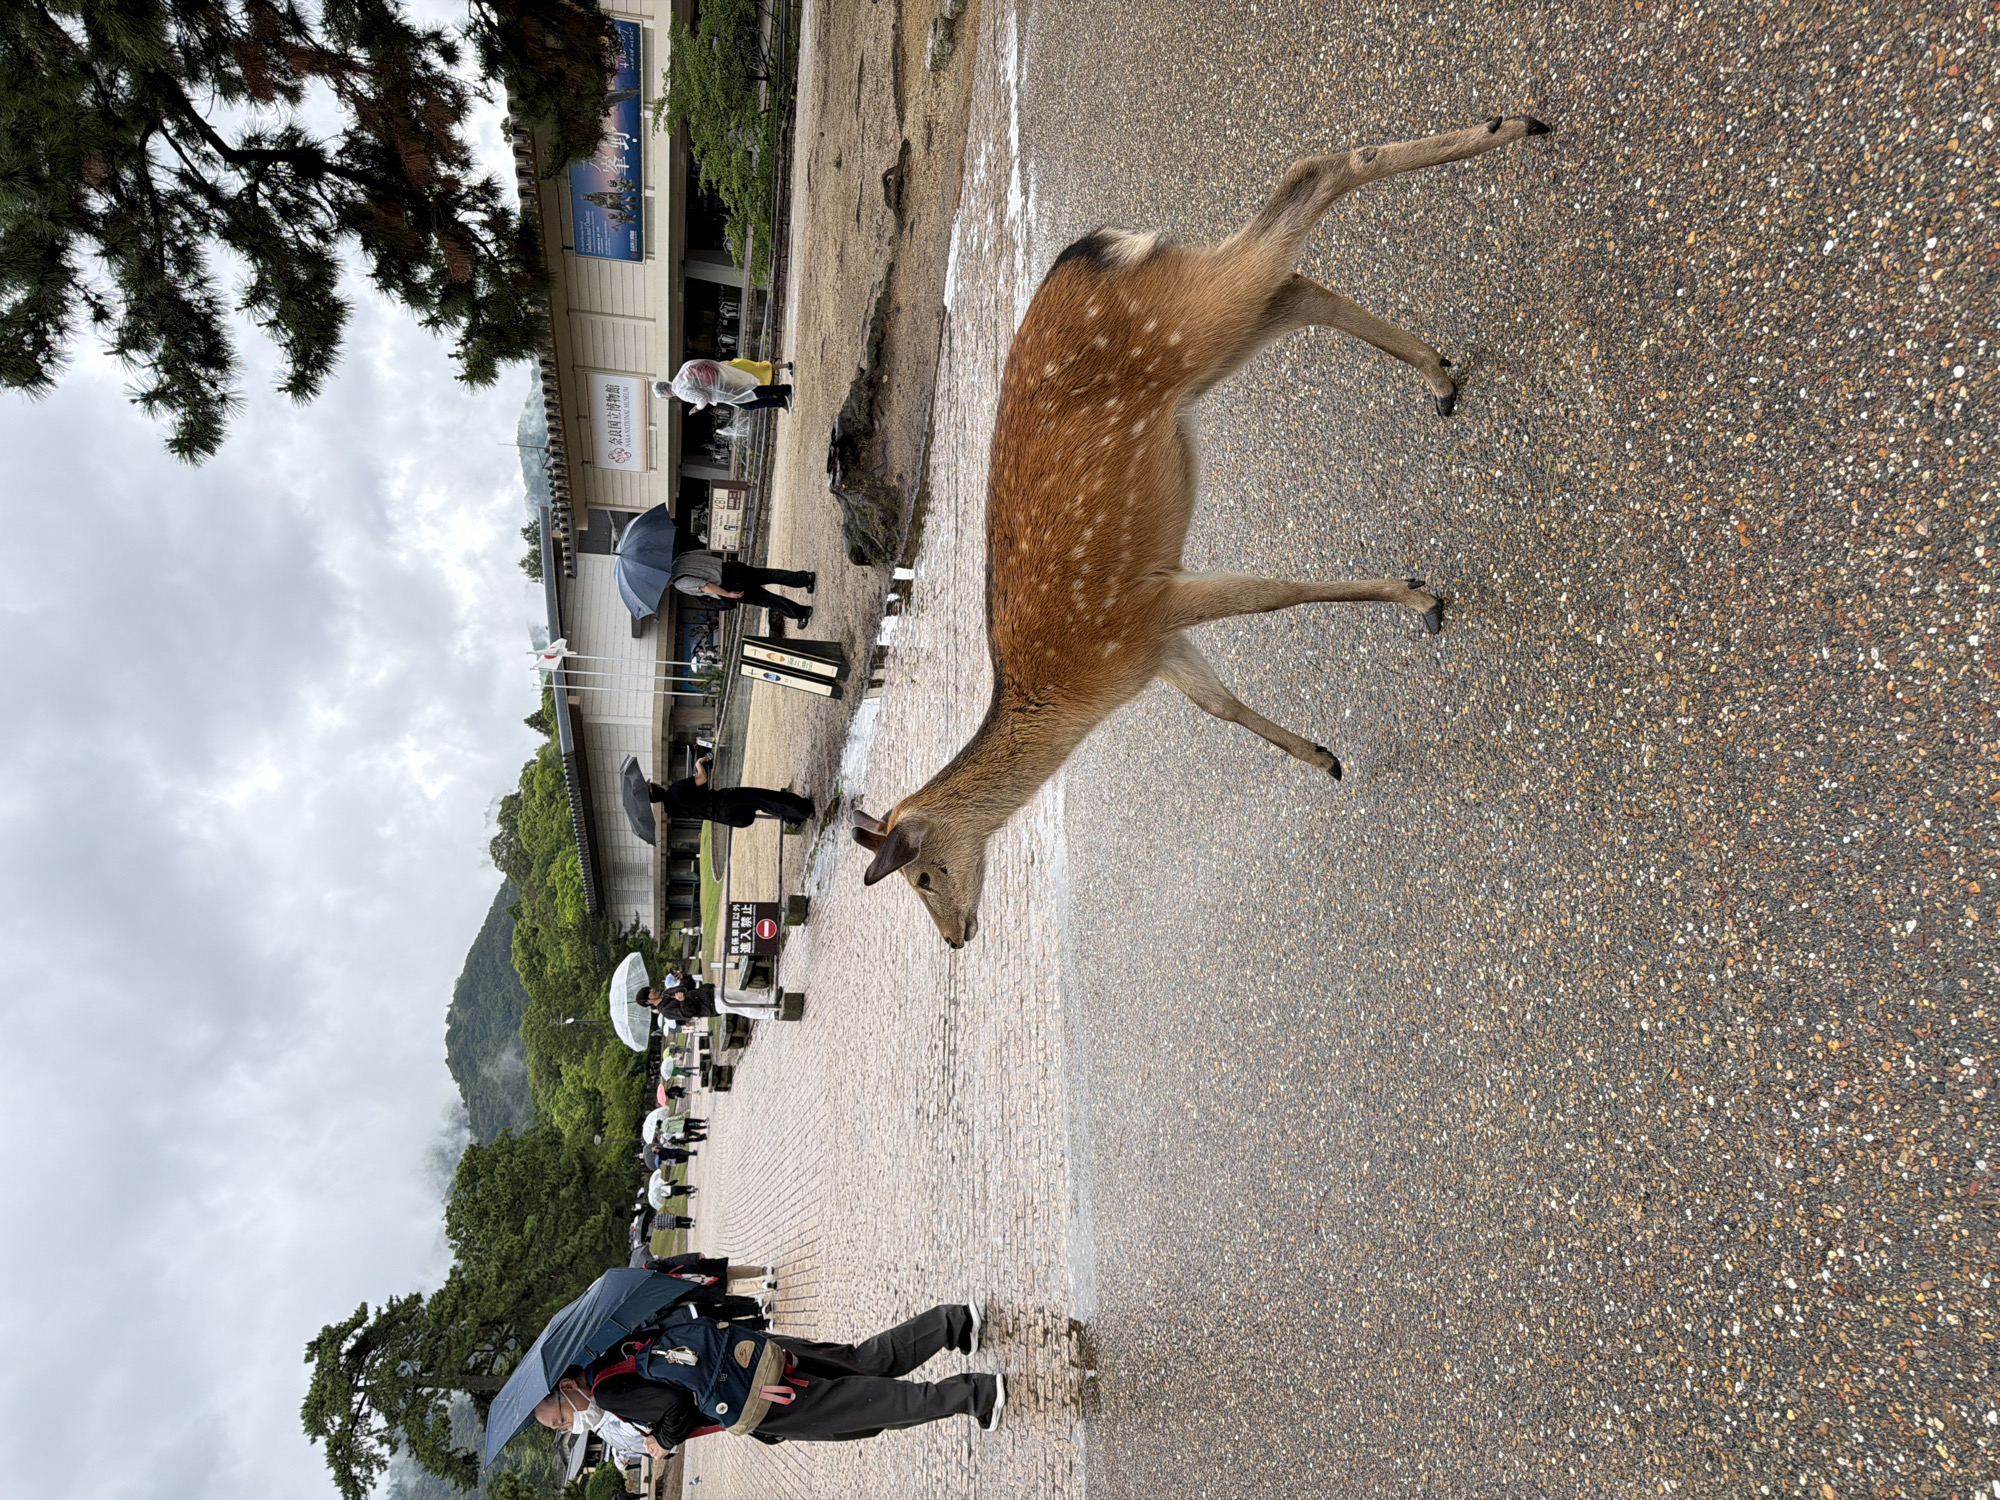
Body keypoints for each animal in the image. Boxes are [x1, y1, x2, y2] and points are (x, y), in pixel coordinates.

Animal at [852, 115, 1552, 947]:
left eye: (919, 876)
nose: (957, 937)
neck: (1085, 691)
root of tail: (1094, 249)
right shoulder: (1155, 648)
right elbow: (1216, 705)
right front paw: (1324, 758)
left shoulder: (1143, 608)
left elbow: (1272, 592)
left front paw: (1423, 596)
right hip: (1210, 341)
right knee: (1299, 286)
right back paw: (1441, 374)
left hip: (1195, 322)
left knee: (1308, 180)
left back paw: (1519, 124)